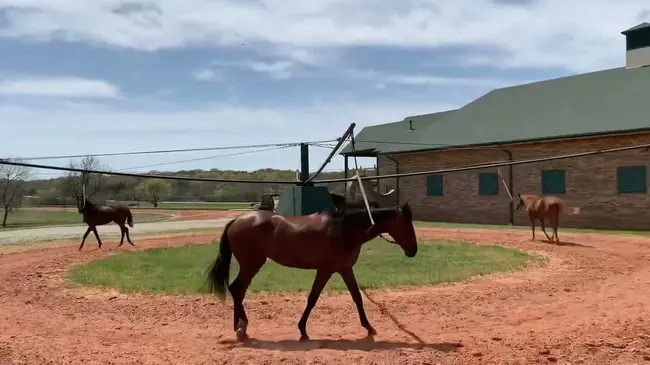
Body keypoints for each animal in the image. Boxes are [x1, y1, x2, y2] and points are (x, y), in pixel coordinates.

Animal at [205, 202, 418, 342]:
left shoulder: (344, 269)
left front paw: (369, 327)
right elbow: (312, 298)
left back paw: (239, 326)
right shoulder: (326, 270)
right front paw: (302, 331)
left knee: (237, 290)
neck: (344, 230)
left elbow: (357, 297)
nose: (413, 251)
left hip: (251, 265)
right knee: (237, 289)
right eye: (408, 226)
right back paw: (241, 327)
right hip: (251, 265)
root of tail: (236, 220)